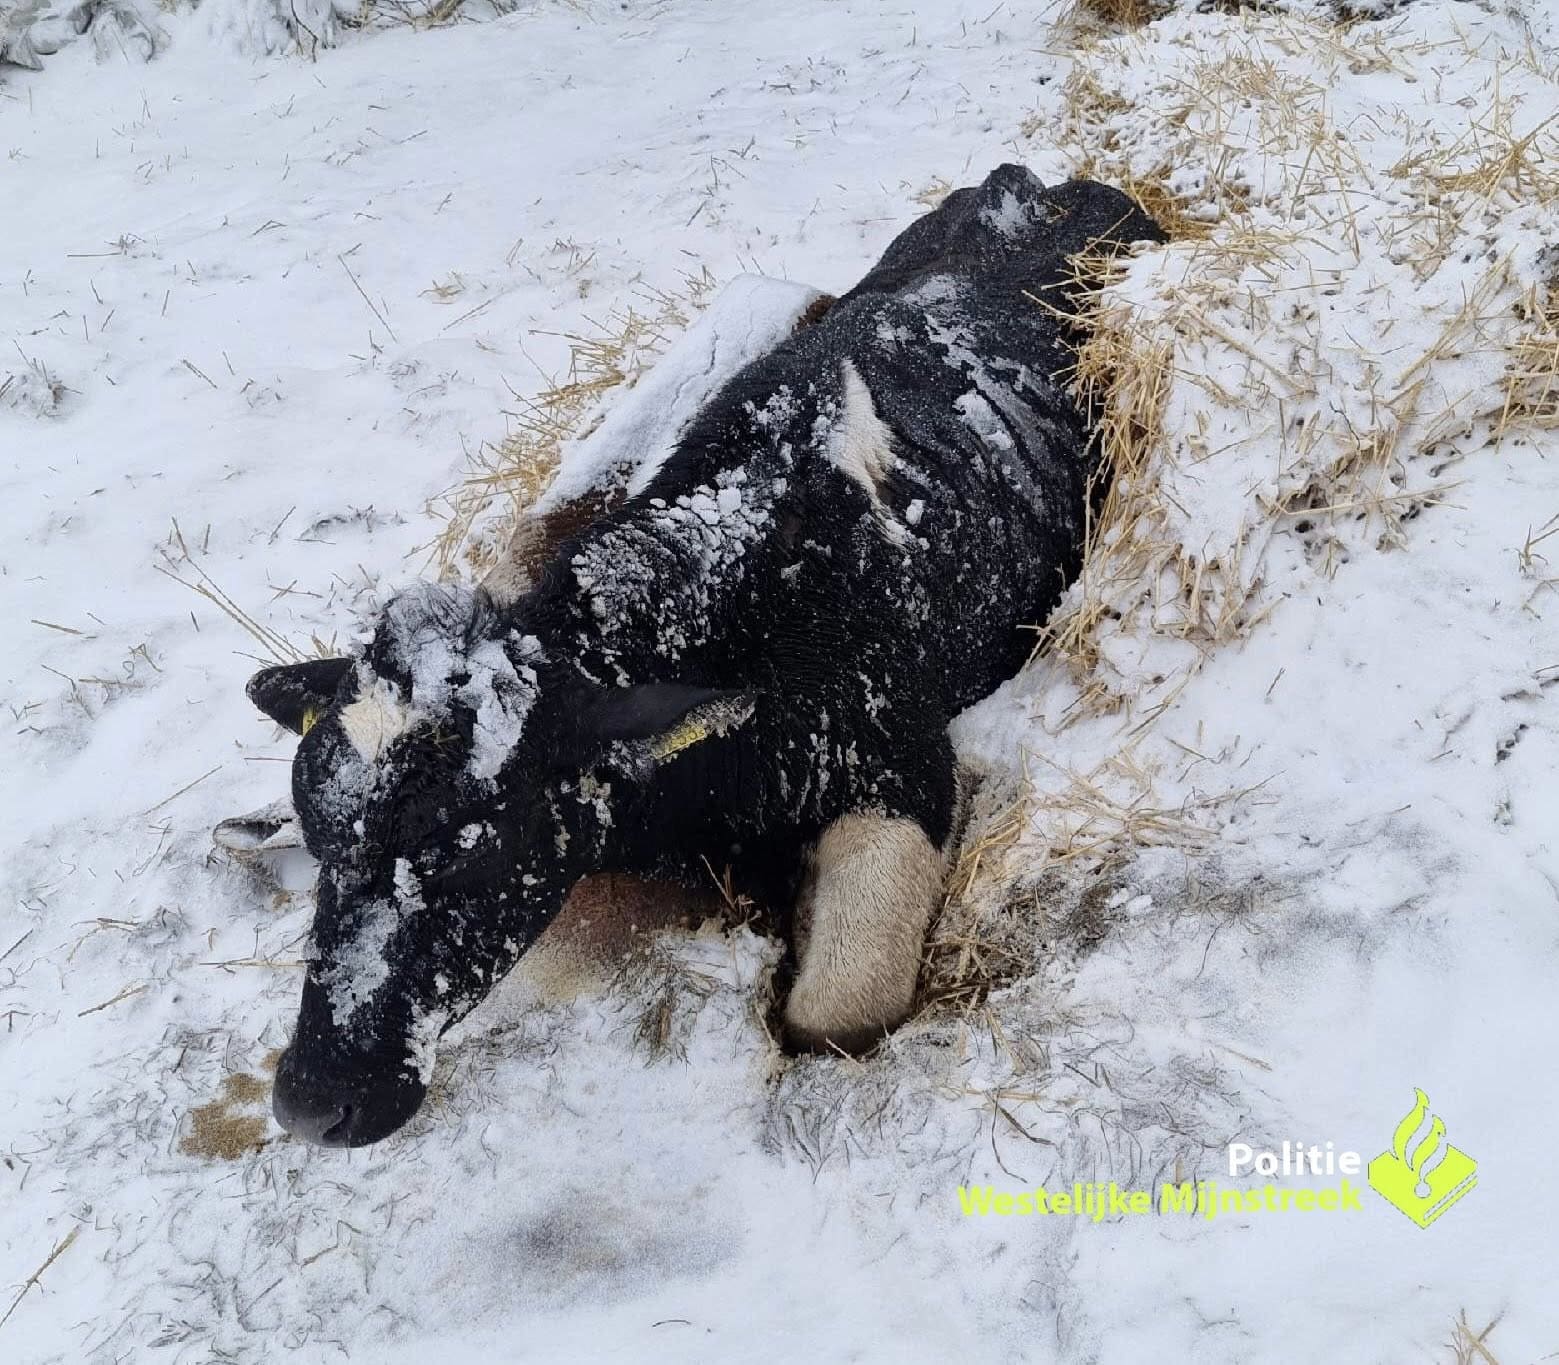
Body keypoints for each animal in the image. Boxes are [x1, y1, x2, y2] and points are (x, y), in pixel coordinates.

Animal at [242, 165, 1164, 1147]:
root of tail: (1041, 183)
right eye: (323, 840)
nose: (310, 1102)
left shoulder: (907, 765)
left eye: (473, 849)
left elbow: (833, 1012)